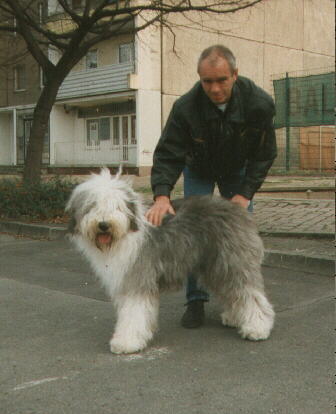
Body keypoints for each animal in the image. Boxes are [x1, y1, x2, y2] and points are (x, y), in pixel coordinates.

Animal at [66, 170, 276, 354]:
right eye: (92, 206)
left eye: (116, 206)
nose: (103, 224)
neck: (125, 234)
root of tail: (236, 208)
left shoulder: (138, 279)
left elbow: (134, 313)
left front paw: (126, 342)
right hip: (215, 265)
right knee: (232, 291)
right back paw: (234, 318)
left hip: (233, 261)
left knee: (249, 293)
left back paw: (257, 328)